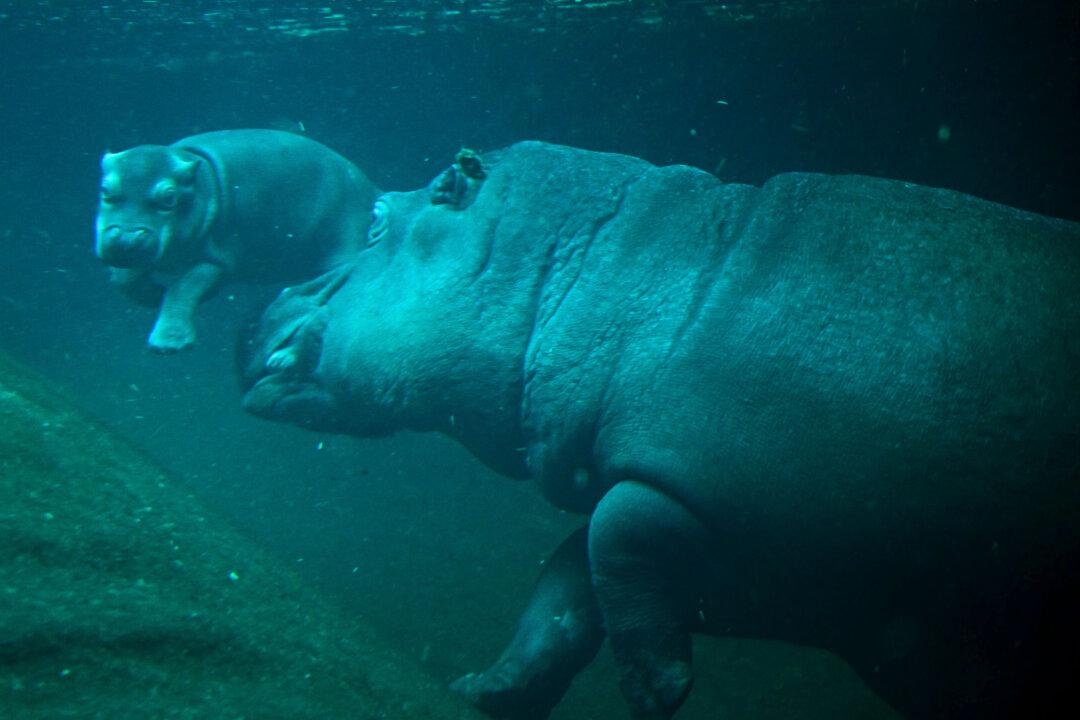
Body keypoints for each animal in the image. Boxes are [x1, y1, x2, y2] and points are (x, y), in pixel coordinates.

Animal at [94, 129, 379, 352]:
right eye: (105, 190)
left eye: (169, 197)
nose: (126, 237)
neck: (200, 183)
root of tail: (373, 190)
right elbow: (123, 280)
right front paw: (155, 294)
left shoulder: (218, 260)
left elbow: (184, 287)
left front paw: (168, 343)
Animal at [239, 142, 1080, 719]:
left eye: (376, 219)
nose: (267, 304)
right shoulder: (788, 587)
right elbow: (564, 588)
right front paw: (485, 689)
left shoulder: (760, 520)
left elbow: (610, 537)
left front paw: (654, 691)